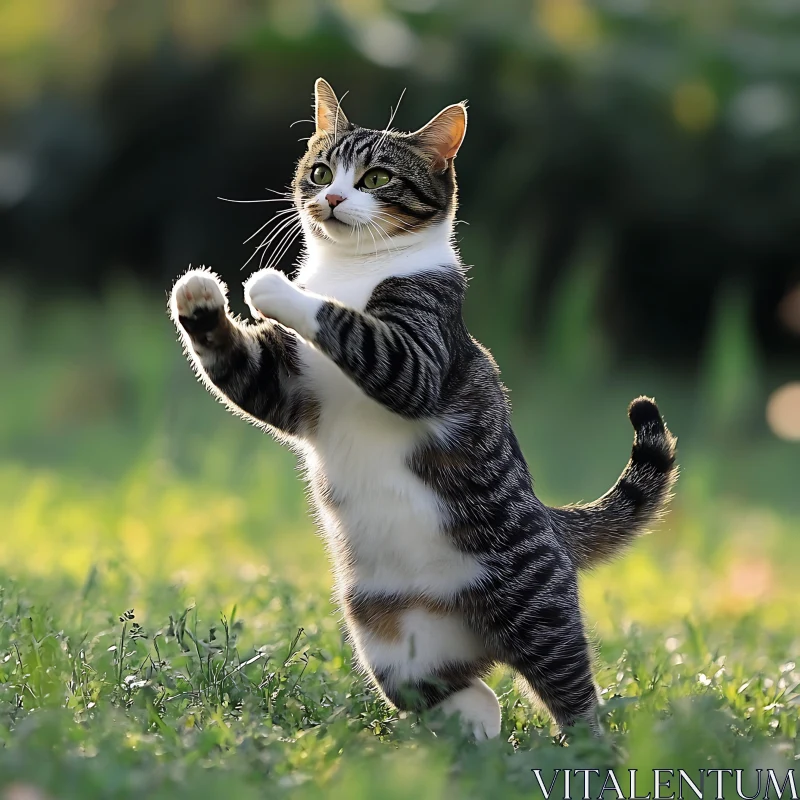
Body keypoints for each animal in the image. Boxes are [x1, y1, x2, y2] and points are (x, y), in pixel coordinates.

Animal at [167, 78, 676, 740]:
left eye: (378, 178)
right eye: (321, 170)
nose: (332, 197)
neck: (352, 269)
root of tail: (552, 522)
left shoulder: (419, 356)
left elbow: (353, 330)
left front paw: (273, 287)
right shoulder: (289, 388)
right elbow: (246, 372)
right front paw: (197, 295)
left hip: (534, 607)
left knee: (574, 697)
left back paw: (580, 747)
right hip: (387, 640)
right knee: (463, 692)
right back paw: (474, 734)